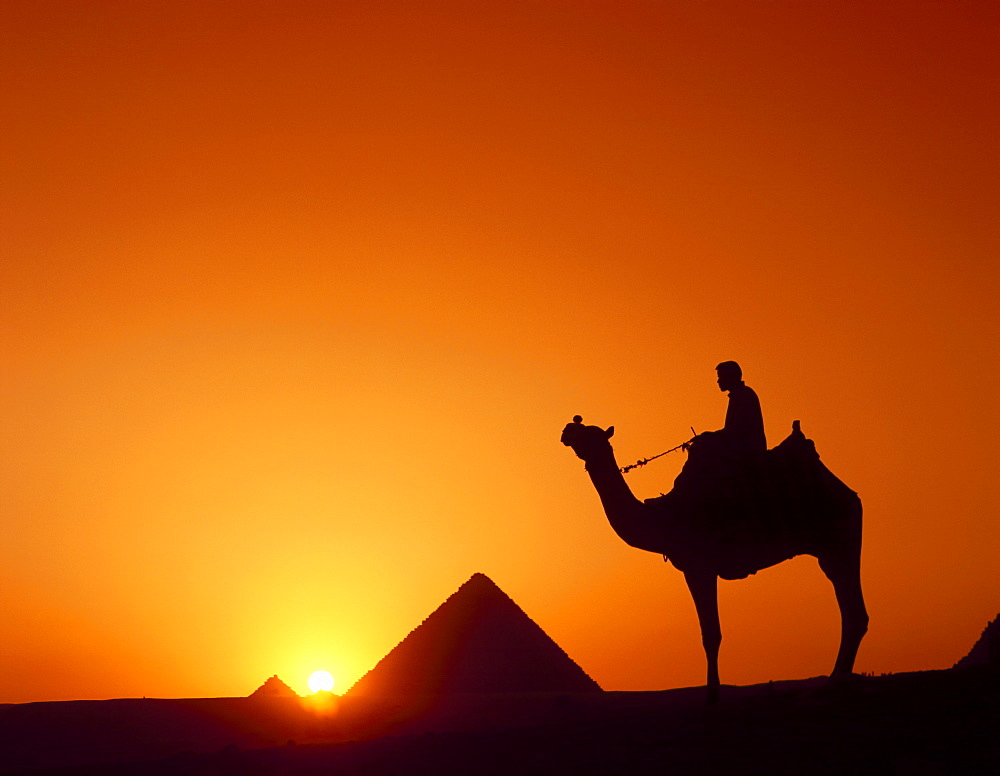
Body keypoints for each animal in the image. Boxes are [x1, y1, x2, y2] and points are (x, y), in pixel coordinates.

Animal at [564, 418, 868, 704]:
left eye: (590, 433)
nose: (567, 428)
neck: (663, 517)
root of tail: (846, 491)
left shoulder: (699, 567)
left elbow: (710, 634)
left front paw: (711, 695)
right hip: (831, 548)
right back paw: (835, 682)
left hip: (840, 540)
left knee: (854, 612)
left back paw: (834, 683)